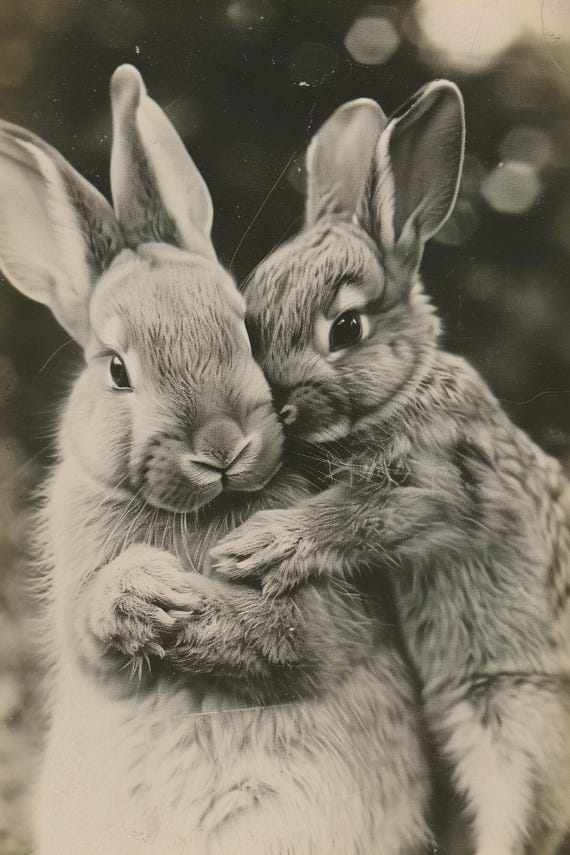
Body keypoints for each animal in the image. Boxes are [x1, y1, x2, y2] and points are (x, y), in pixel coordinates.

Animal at [0, 65, 435, 855]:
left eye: (242, 326)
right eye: (117, 370)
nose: (221, 446)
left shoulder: (324, 605)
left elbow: (290, 637)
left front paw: (188, 603)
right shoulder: (79, 605)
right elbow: (91, 627)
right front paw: (143, 593)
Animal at [212, 81, 570, 855]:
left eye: (346, 328)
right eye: (251, 321)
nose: (278, 408)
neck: (402, 390)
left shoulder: (439, 488)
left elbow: (355, 515)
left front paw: (260, 546)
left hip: (515, 716)